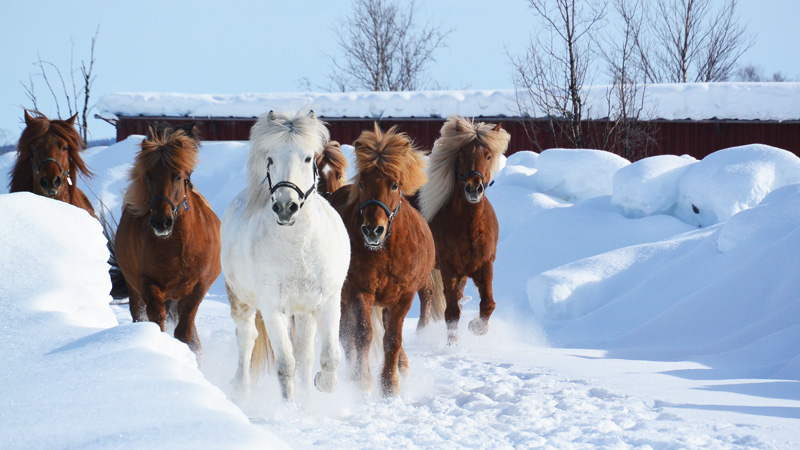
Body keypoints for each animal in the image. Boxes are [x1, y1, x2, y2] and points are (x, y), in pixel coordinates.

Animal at [112, 126, 219, 356]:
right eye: (148, 177)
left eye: (178, 177)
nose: (161, 222)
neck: (179, 248)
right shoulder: (148, 285)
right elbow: (157, 320)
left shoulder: (197, 289)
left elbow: (185, 332)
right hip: (136, 292)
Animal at [222, 110, 354, 402]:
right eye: (270, 159)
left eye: (307, 158)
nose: (285, 207)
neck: (299, 248)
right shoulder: (273, 309)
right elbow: (285, 365)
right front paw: (291, 409)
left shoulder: (328, 302)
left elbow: (329, 357)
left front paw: (320, 386)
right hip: (241, 300)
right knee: (246, 337)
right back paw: (241, 390)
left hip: (304, 312)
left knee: (305, 354)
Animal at [328, 124, 434, 398]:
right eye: (363, 183)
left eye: (395, 184)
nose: (373, 230)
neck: (385, 252)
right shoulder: (359, 292)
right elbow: (363, 335)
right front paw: (362, 380)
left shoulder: (404, 296)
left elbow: (393, 338)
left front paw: (389, 383)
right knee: (347, 336)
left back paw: (402, 366)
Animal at [416, 116, 510, 344]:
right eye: (461, 154)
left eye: (488, 155)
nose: (473, 188)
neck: (470, 226)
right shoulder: (449, 269)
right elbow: (451, 313)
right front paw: (452, 346)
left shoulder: (484, 266)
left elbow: (488, 304)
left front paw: (476, 327)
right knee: (426, 296)